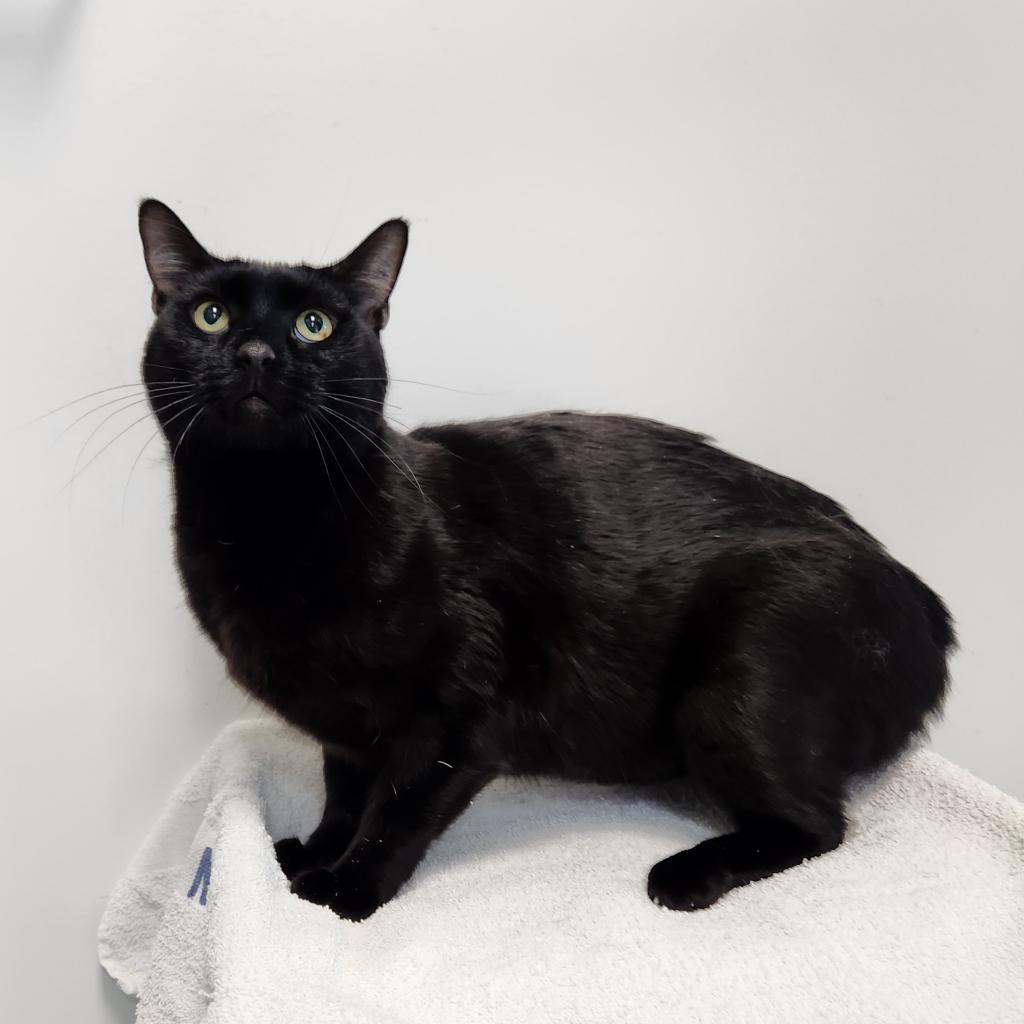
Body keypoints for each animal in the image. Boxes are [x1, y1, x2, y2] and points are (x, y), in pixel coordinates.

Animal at [136, 199, 950, 921]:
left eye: (315, 325)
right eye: (211, 315)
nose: (256, 352)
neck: (262, 519)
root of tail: (929, 610)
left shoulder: (457, 717)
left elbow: (394, 812)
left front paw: (343, 890)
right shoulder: (346, 725)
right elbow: (344, 794)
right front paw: (313, 853)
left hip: (740, 674)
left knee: (817, 824)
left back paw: (685, 874)